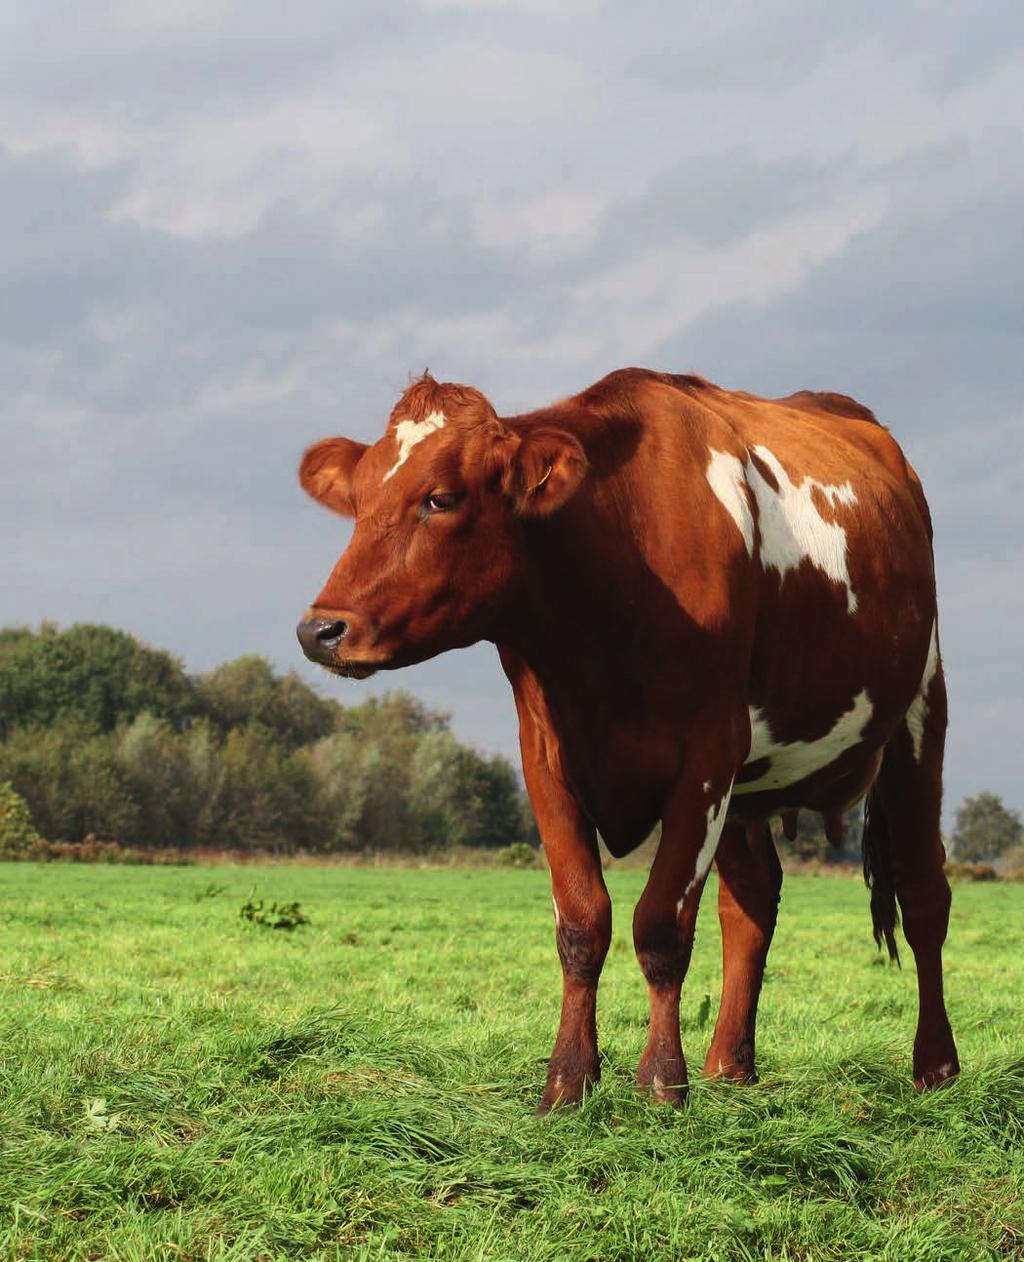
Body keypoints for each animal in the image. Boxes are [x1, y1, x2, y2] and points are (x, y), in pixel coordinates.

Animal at [296, 368, 959, 1110]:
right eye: (357, 499)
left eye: (440, 498)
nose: (320, 630)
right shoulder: (547, 758)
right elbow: (582, 922)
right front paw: (567, 1083)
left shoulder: (707, 756)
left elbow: (661, 925)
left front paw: (662, 1083)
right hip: (751, 785)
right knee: (751, 902)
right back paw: (729, 1066)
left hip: (919, 712)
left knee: (924, 892)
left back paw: (936, 1069)